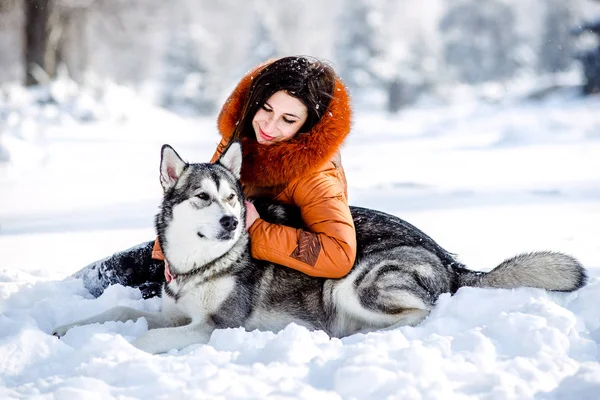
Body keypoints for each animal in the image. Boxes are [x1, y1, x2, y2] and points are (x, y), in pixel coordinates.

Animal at [51, 143, 584, 354]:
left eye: (232, 198)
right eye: (202, 196)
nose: (231, 221)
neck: (199, 265)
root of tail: (453, 263)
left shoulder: (214, 327)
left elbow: (142, 339)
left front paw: (111, 349)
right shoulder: (174, 312)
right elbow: (116, 314)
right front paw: (67, 330)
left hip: (351, 283)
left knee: (420, 315)